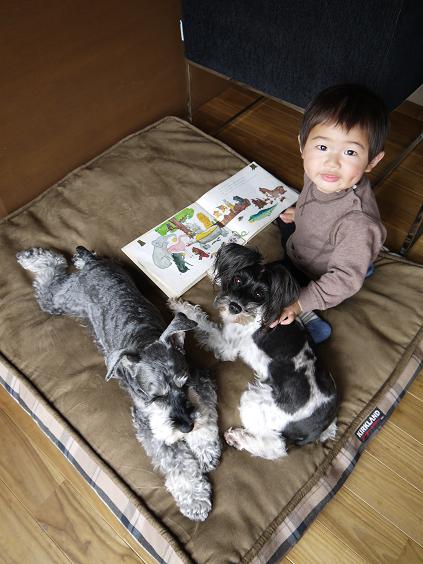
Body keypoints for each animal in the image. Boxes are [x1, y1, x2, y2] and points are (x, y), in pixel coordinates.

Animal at [17, 246, 221, 521]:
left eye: (184, 383)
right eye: (155, 397)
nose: (186, 427)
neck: (146, 338)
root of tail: (93, 265)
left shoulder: (201, 382)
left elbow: (206, 416)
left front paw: (206, 450)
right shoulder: (147, 423)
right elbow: (176, 462)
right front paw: (194, 499)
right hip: (61, 300)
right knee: (52, 272)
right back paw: (33, 256)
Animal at [170, 242, 337, 460]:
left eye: (259, 295)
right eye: (237, 279)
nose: (235, 307)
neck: (259, 312)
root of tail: (319, 428)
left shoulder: (227, 346)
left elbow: (201, 323)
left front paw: (181, 309)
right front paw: (211, 271)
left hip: (256, 403)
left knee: (276, 447)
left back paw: (237, 438)